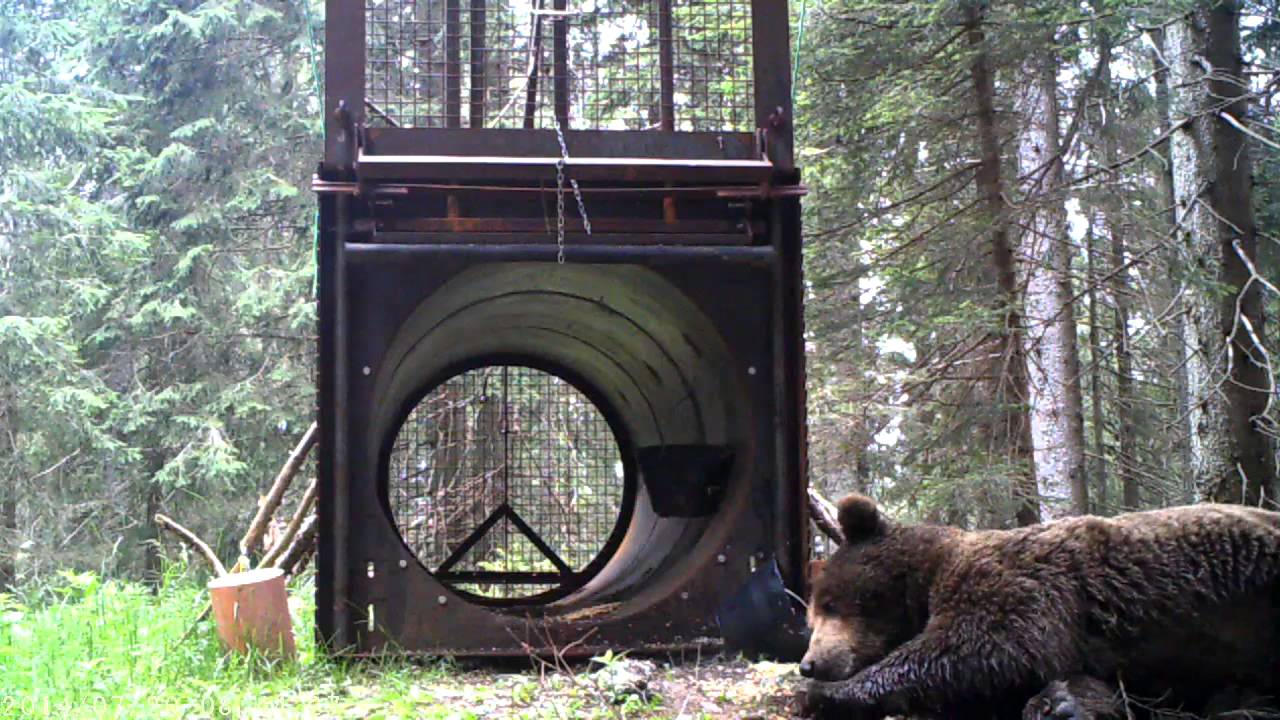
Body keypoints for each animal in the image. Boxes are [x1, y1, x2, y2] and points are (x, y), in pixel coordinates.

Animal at [800, 493, 1280, 720]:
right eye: (812, 614)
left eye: (831, 604)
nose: (810, 663)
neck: (928, 579)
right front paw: (1063, 705)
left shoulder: (1014, 588)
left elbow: (981, 648)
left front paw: (827, 695)